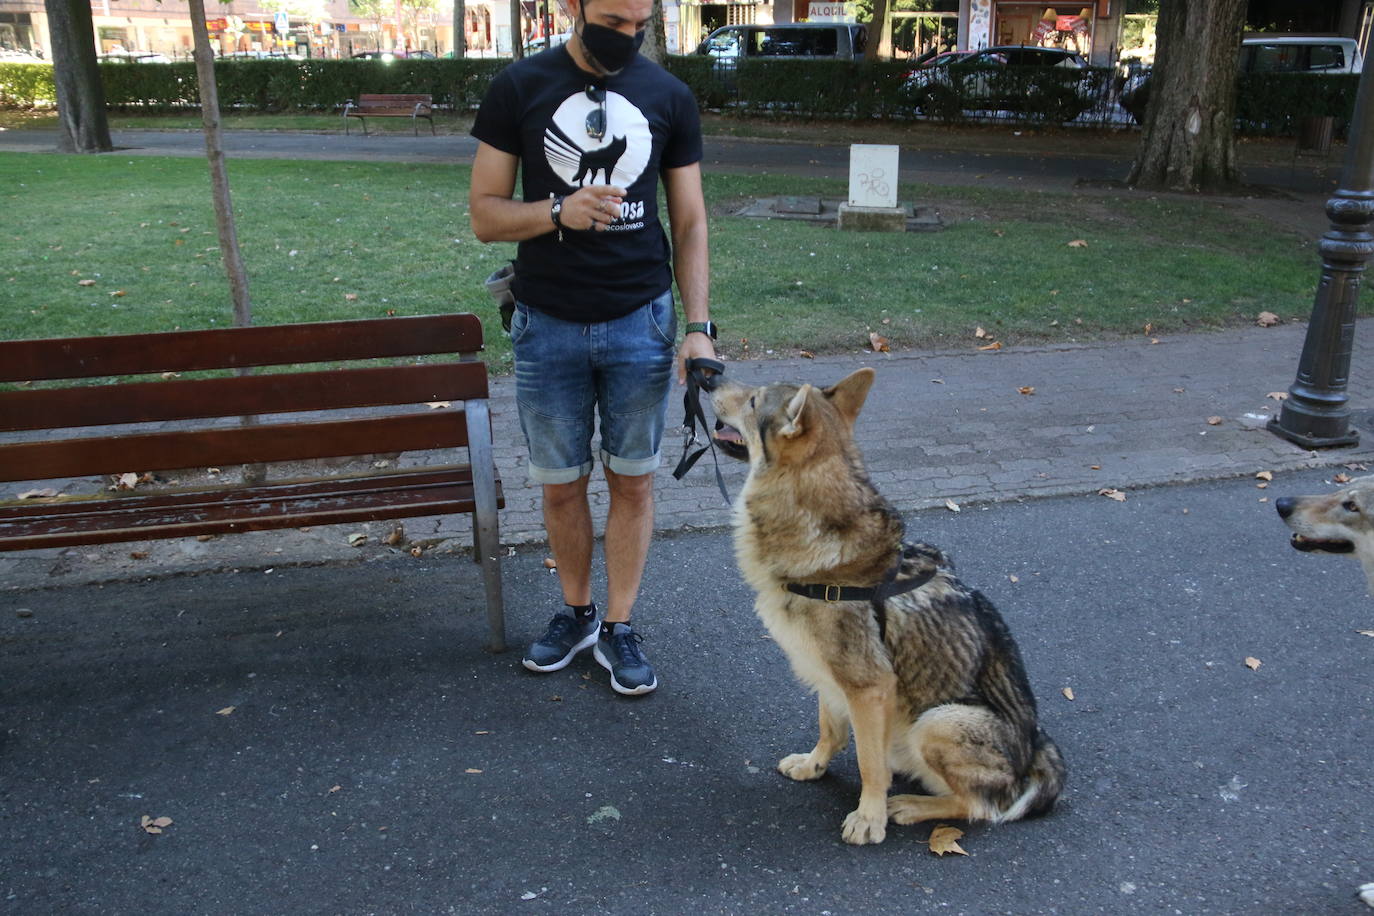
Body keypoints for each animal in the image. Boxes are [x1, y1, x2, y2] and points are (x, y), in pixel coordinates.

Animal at [714, 365, 1066, 845]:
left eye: (752, 401)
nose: (706, 375)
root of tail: (1037, 752)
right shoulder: (830, 677)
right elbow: (830, 730)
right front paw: (813, 765)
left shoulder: (869, 687)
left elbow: (869, 765)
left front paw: (869, 818)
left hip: (939, 720)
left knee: (977, 806)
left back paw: (910, 806)